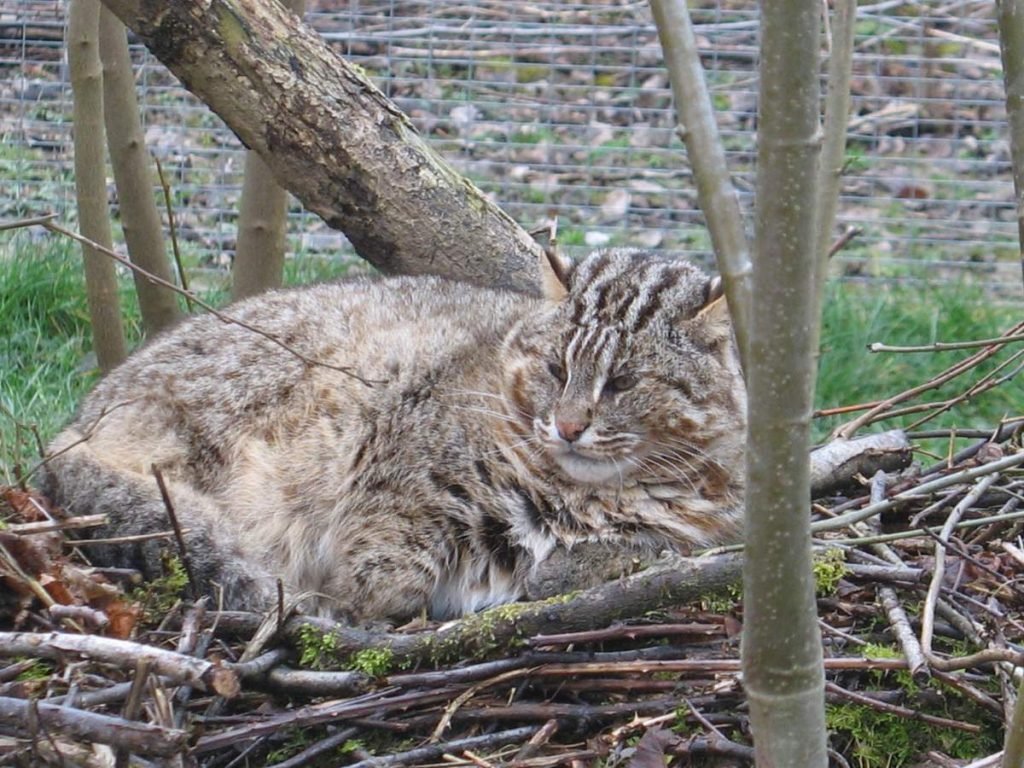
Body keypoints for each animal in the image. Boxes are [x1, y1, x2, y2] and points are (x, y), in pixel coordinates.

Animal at [41, 249, 745, 622]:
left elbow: (643, 549)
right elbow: (387, 555)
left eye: (623, 381)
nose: (569, 426)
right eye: (555, 368)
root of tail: (76, 422)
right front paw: (375, 609)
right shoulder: (401, 466)